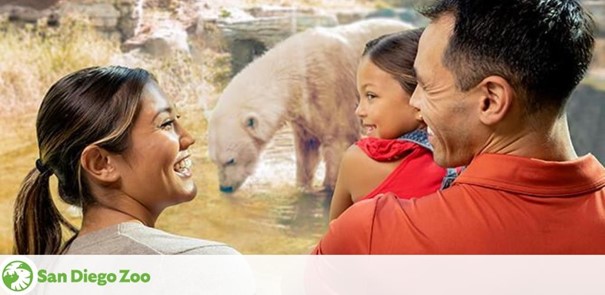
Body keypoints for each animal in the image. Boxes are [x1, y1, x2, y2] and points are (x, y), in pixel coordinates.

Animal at [206, 18, 410, 194]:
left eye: (231, 160)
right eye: (214, 161)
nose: (224, 187)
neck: (297, 70)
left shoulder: (332, 90)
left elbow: (339, 139)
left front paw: (329, 187)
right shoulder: (305, 110)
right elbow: (307, 149)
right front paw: (303, 186)